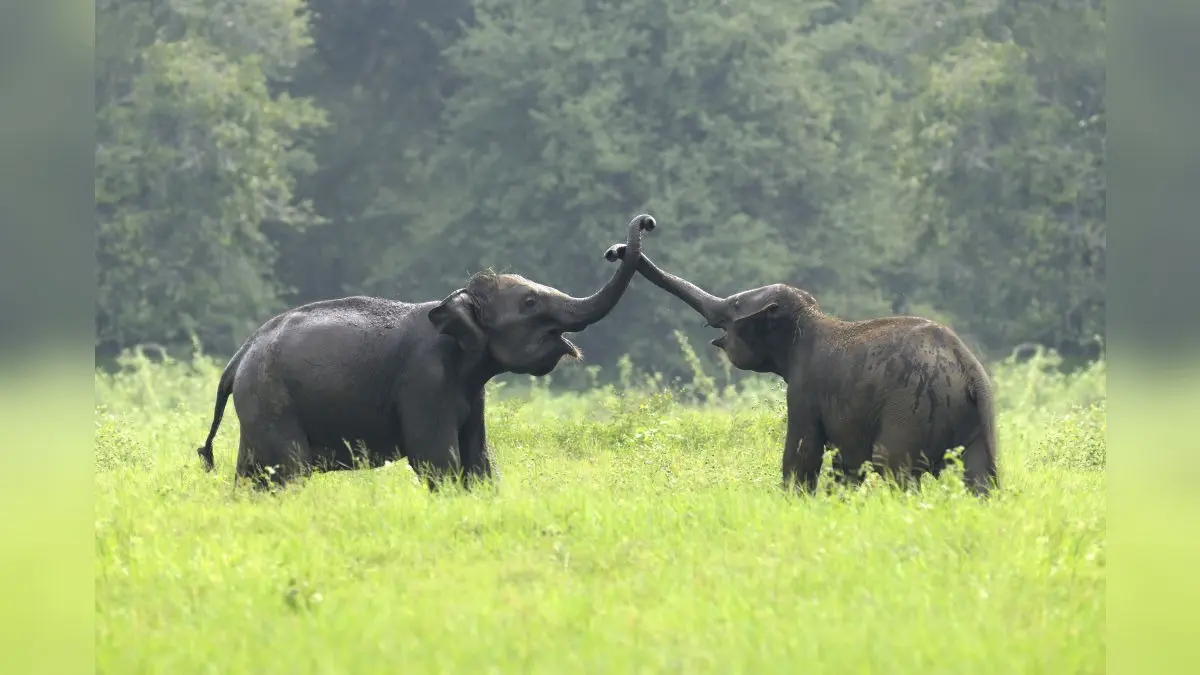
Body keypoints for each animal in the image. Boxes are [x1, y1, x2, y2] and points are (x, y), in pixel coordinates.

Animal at [193, 214, 657, 491]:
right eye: (529, 303)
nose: (643, 225)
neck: (451, 302)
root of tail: (237, 359)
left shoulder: (471, 390)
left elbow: (478, 459)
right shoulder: (424, 380)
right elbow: (437, 460)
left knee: (253, 475)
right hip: (272, 399)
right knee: (285, 472)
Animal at [604, 243, 999, 496]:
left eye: (735, 305)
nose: (616, 250)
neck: (810, 319)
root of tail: (968, 370)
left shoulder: (804, 389)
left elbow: (802, 454)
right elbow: (845, 463)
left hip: (910, 410)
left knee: (893, 469)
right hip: (978, 422)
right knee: (981, 477)